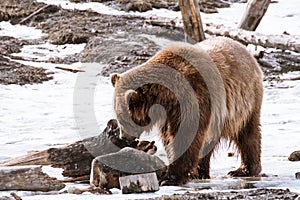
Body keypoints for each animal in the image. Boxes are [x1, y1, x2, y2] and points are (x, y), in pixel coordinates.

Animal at [109, 36, 262, 186]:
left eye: (122, 118)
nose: (124, 137)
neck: (165, 96)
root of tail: (246, 51)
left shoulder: (192, 97)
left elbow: (187, 135)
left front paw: (171, 177)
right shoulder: (168, 113)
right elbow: (170, 137)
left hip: (246, 101)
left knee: (248, 134)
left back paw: (244, 170)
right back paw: (200, 172)